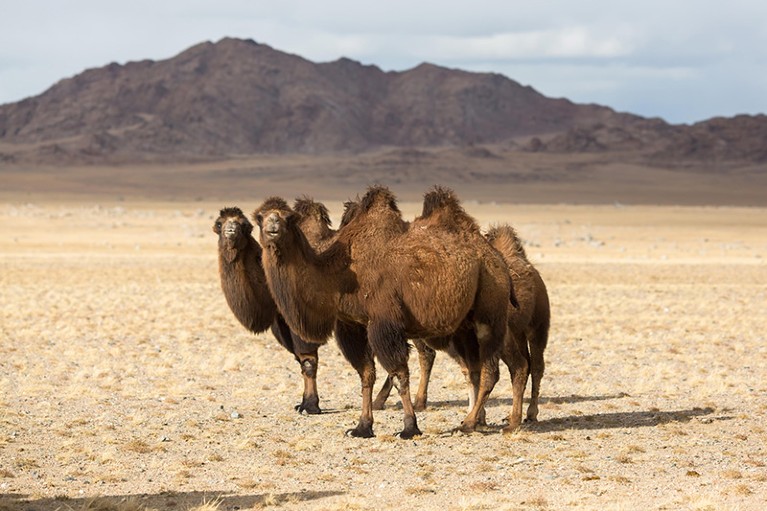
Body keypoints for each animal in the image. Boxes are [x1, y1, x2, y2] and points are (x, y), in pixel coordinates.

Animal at [214, 204, 334, 415]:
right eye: (219, 223)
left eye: (243, 224)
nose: (231, 229)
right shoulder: (282, 323)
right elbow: (299, 361)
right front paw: (303, 403)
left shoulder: (302, 323)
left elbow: (308, 361)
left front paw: (311, 406)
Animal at [254, 186, 513, 438]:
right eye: (259, 217)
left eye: (288, 217)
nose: (273, 226)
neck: (341, 274)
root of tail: (496, 258)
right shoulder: (352, 326)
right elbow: (366, 373)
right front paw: (362, 427)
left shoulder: (383, 323)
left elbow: (399, 375)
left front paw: (409, 428)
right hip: (463, 326)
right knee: (473, 368)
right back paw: (477, 420)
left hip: (489, 311)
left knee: (490, 370)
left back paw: (468, 423)